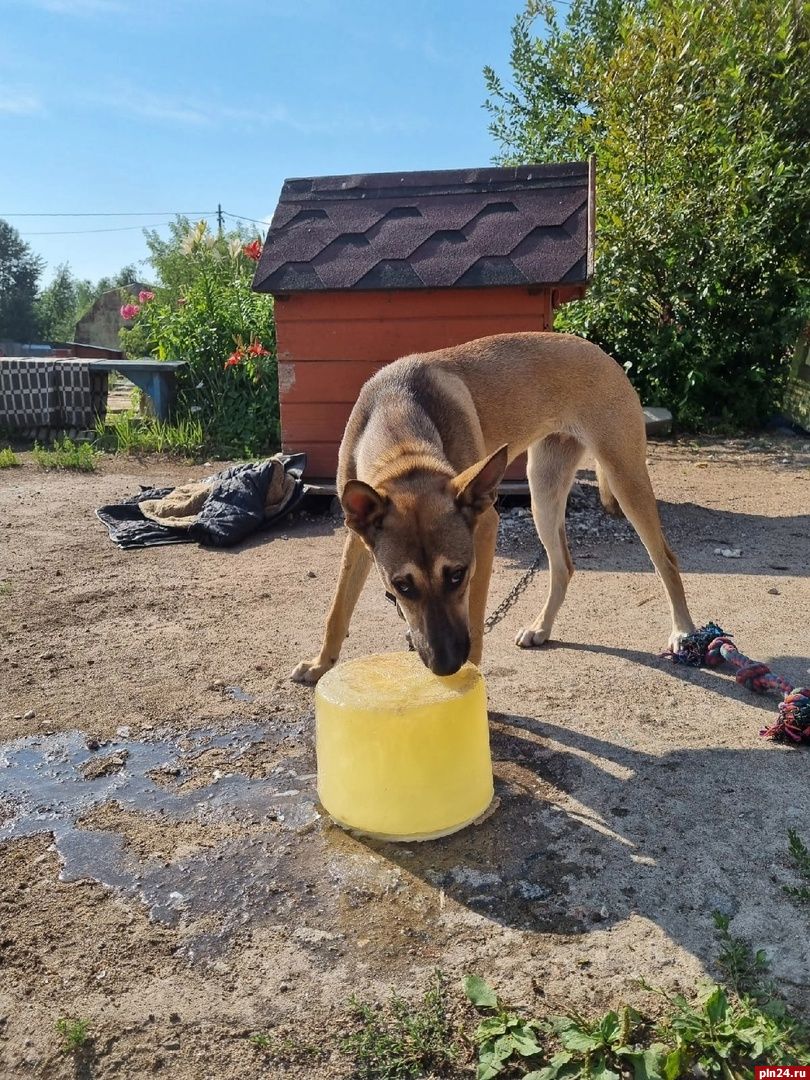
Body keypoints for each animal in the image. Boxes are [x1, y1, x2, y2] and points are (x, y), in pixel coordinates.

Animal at [289, 330, 695, 682]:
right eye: (401, 586)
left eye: (457, 575)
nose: (446, 666)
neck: (402, 446)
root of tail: (597, 349)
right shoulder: (357, 539)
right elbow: (337, 611)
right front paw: (321, 664)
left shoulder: (484, 531)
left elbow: (474, 617)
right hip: (542, 492)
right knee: (562, 566)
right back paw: (541, 627)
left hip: (625, 477)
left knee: (666, 560)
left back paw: (684, 631)